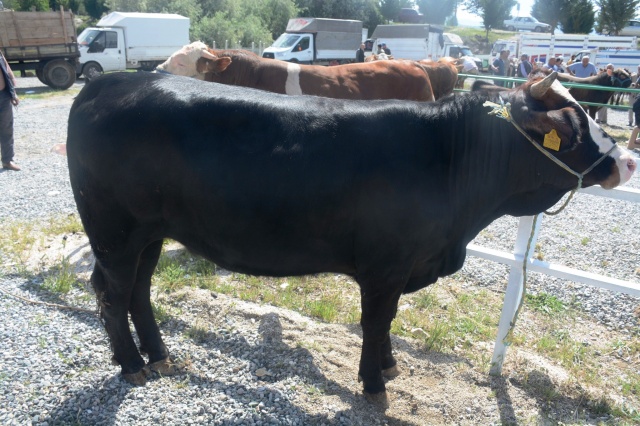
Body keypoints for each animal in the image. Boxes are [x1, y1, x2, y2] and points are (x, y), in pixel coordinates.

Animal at [67, 71, 636, 408]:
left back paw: (159, 355)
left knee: (138, 291)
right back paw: (132, 365)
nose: (628, 161)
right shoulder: (385, 266)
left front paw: (387, 363)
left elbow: (389, 321)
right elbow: (377, 319)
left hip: (150, 233)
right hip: (115, 233)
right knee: (112, 292)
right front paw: (375, 383)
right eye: (572, 127)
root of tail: (111, 80)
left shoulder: (402, 265)